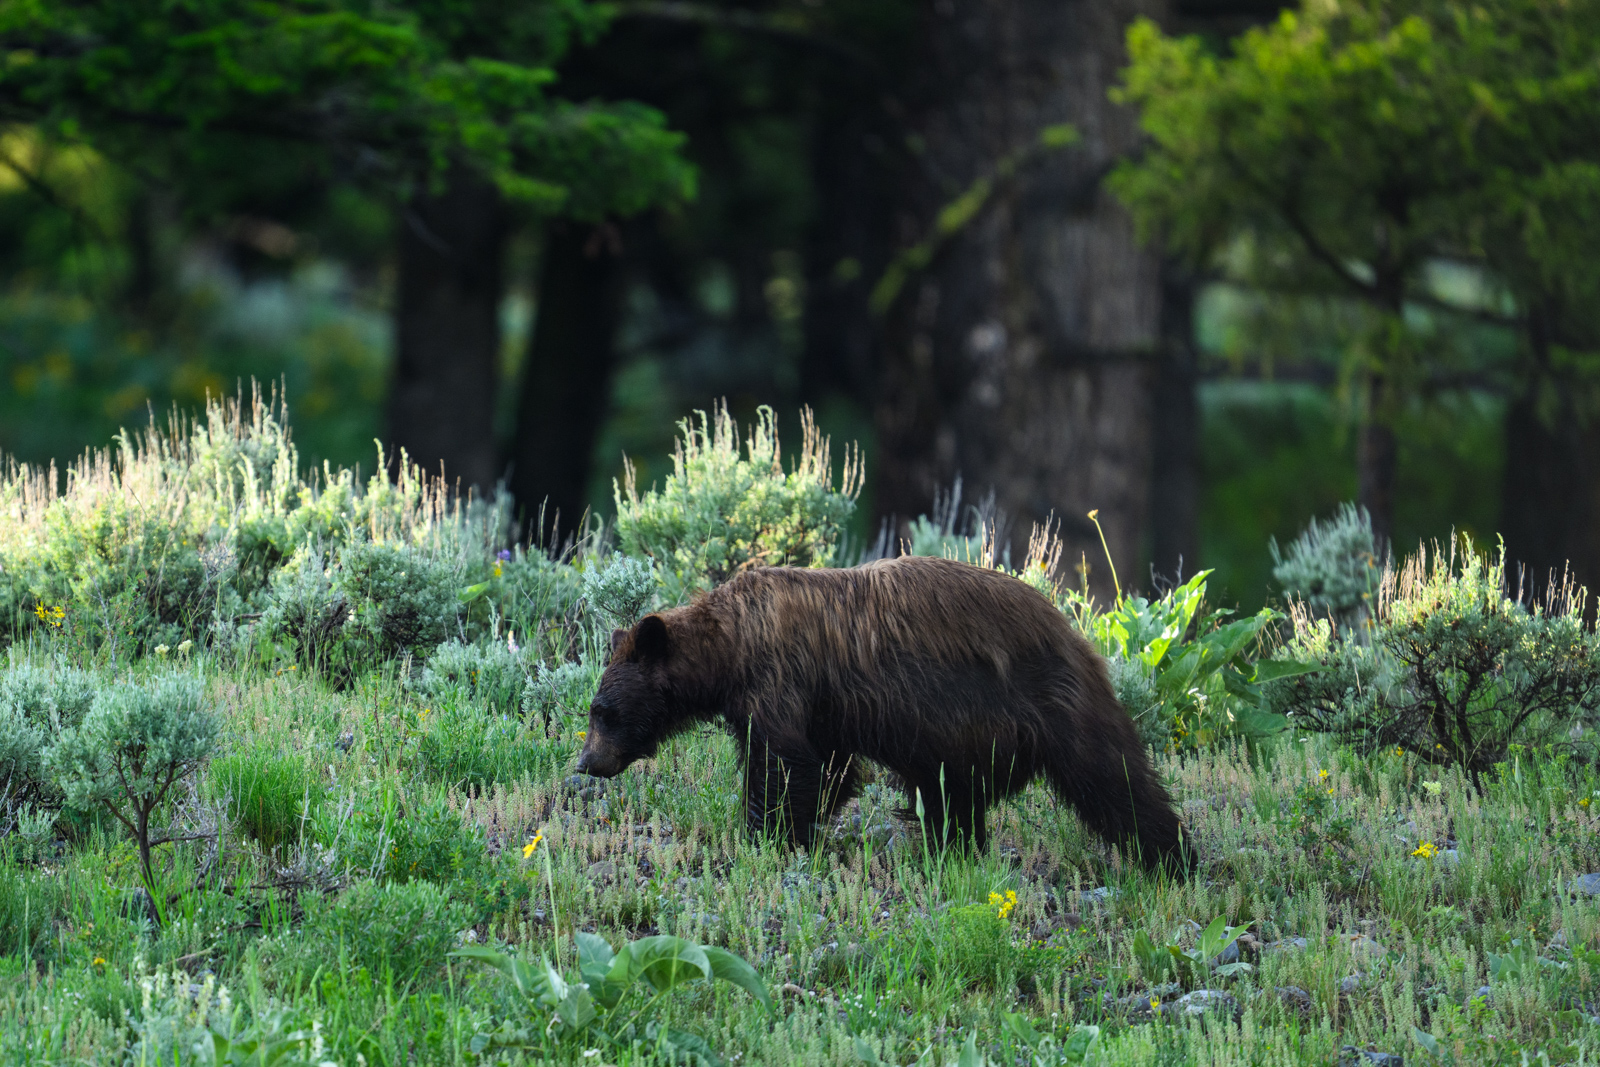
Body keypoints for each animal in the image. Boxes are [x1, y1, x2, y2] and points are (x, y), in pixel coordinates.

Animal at [575, 555, 1193, 875]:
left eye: (602, 711)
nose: (585, 763)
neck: (729, 647)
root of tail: (1072, 628)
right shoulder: (824, 709)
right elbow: (829, 768)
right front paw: (805, 827)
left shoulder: (779, 680)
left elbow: (784, 764)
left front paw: (767, 833)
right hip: (969, 736)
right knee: (953, 795)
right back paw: (950, 849)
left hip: (1047, 701)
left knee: (1112, 778)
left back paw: (1172, 858)